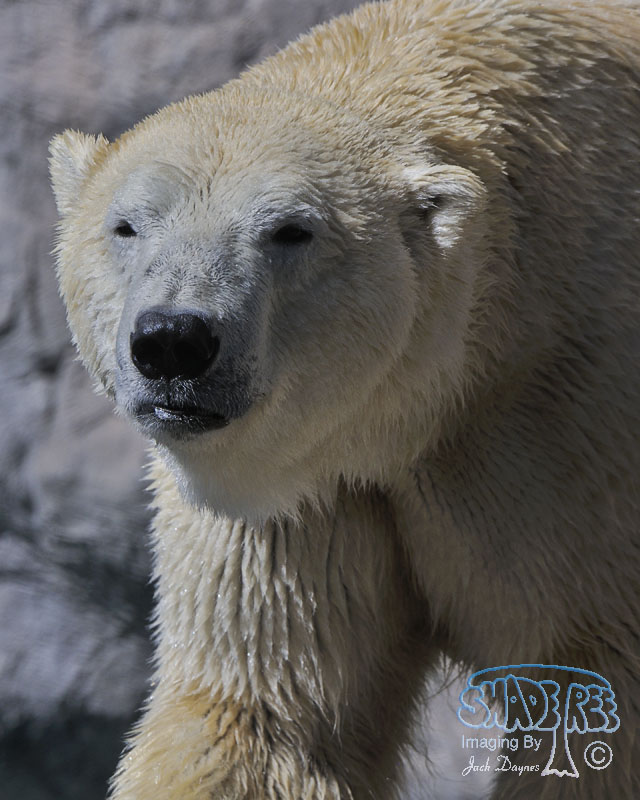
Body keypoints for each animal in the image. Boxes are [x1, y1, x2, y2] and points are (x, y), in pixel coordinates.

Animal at [49, 0, 640, 797]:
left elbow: (590, 692)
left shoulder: (569, 431)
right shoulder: (302, 493)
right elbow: (270, 713)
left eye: (290, 230)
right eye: (127, 225)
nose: (173, 340)